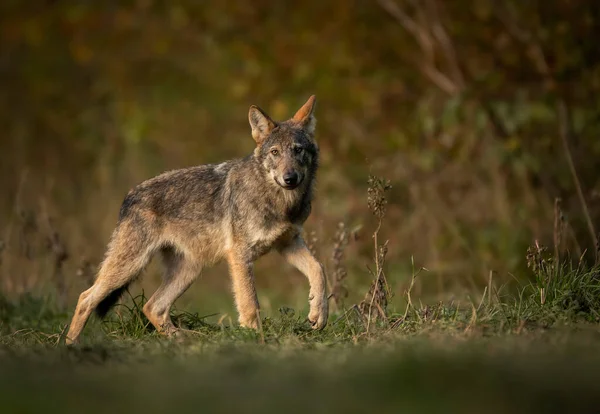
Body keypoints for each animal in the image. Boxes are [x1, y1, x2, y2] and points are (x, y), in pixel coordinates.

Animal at [67, 95, 328, 344]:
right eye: (275, 152)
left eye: (298, 150)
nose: (289, 178)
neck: (281, 202)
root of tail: (129, 195)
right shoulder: (240, 255)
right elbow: (250, 303)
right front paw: (256, 338)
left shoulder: (288, 243)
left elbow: (319, 269)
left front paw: (318, 314)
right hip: (130, 266)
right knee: (85, 297)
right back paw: (71, 345)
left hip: (188, 271)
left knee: (152, 307)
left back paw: (183, 339)